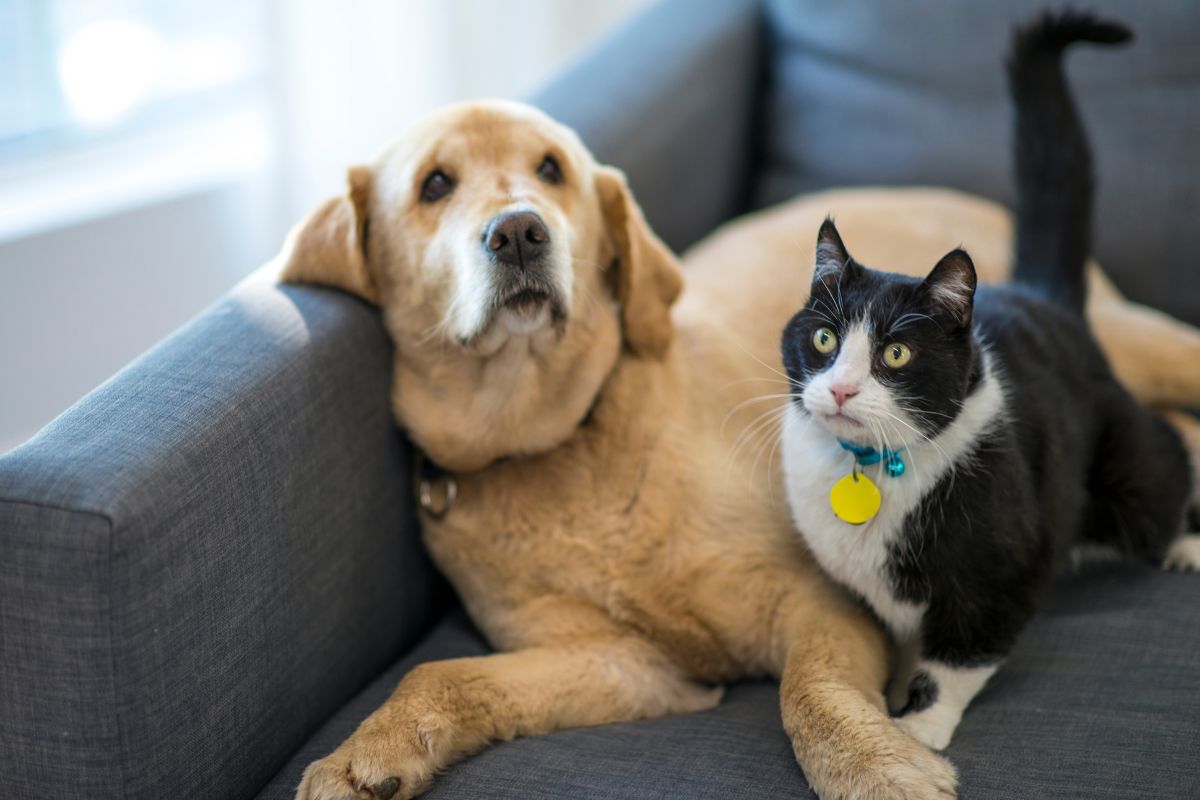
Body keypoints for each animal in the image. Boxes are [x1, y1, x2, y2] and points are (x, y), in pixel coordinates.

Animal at [276, 101, 1200, 800]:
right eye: (434, 185)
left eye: (552, 170)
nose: (520, 234)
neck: (560, 440)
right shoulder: (623, 663)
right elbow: (443, 674)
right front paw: (369, 755)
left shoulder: (820, 605)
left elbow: (809, 693)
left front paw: (878, 767)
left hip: (1133, 344)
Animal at [772, 9, 1195, 753]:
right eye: (824, 340)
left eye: (896, 355)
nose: (842, 389)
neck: (871, 470)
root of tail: (1043, 301)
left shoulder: (1006, 565)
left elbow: (963, 653)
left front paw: (920, 729)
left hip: (1124, 463)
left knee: (1165, 464)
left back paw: (1185, 543)